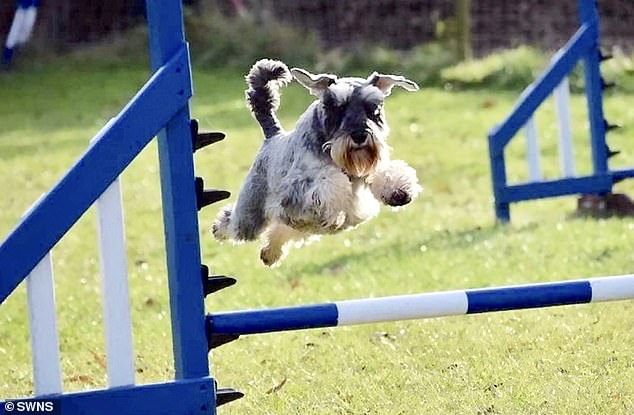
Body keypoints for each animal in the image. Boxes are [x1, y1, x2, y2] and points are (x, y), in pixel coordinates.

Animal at [211, 58, 420, 266]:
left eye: (373, 108)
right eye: (336, 107)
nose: (359, 135)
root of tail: (273, 136)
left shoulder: (367, 169)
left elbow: (384, 170)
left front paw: (399, 190)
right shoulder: (296, 189)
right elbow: (332, 182)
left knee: (284, 228)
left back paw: (271, 252)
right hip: (252, 214)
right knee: (233, 220)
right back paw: (218, 230)